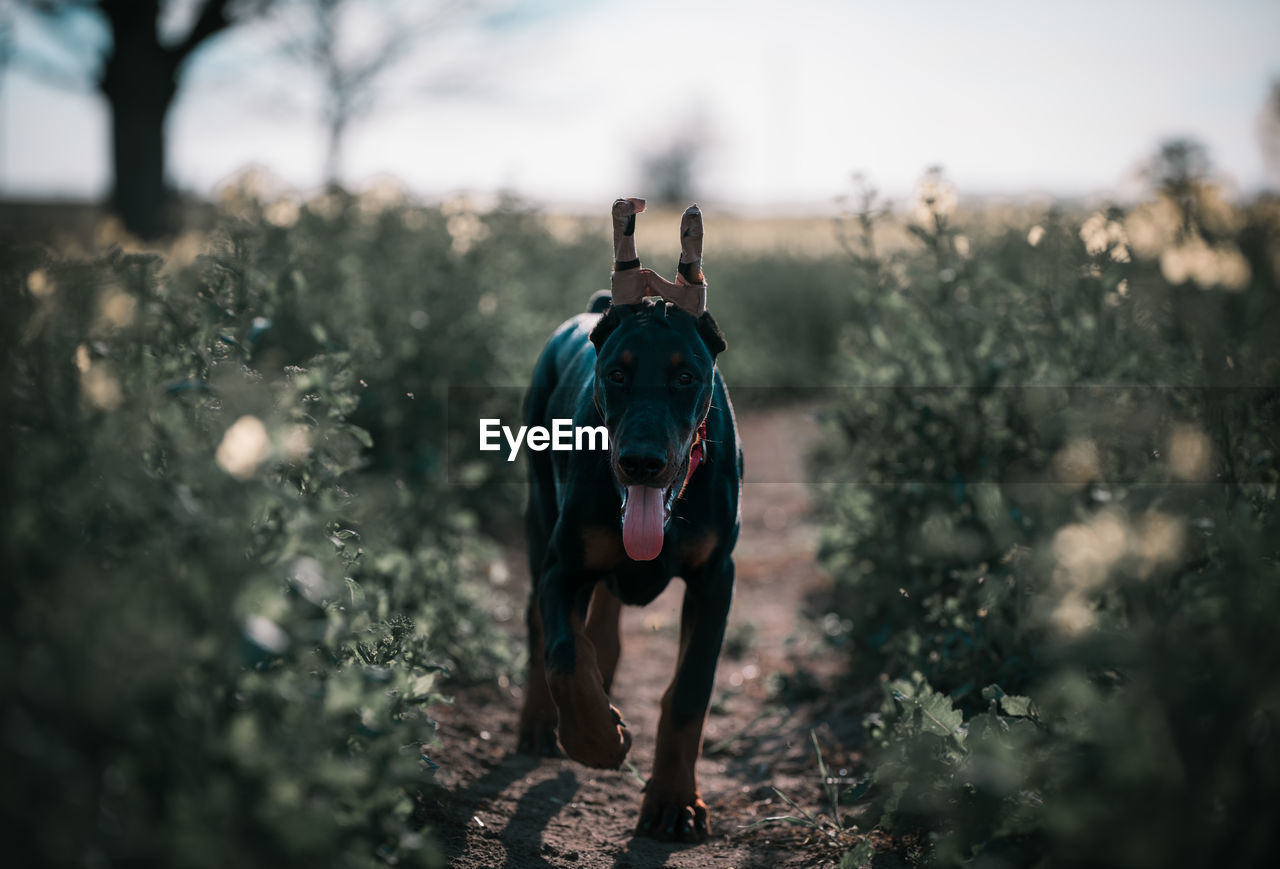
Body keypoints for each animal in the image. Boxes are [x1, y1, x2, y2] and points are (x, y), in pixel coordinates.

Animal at [517, 198, 747, 844]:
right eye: (615, 375)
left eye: (686, 376)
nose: (640, 462)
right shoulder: (563, 568)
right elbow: (564, 656)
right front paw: (598, 740)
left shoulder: (716, 577)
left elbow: (690, 691)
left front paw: (673, 802)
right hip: (539, 516)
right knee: (541, 627)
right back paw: (541, 723)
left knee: (606, 619)